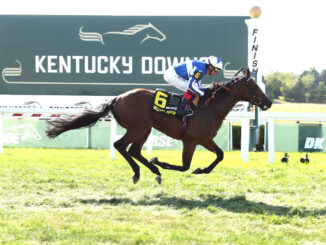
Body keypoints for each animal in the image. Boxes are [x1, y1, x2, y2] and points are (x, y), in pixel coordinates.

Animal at [45, 67, 270, 184]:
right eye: (254, 85)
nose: (268, 102)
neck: (210, 107)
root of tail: (117, 98)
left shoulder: (205, 139)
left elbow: (220, 155)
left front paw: (201, 170)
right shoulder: (190, 141)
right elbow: (184, 166)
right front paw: (161, 162)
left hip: (145, 129)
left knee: (134, 150)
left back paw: (153, 171)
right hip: (138, 127)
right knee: (120, 145)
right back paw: (141, 172)